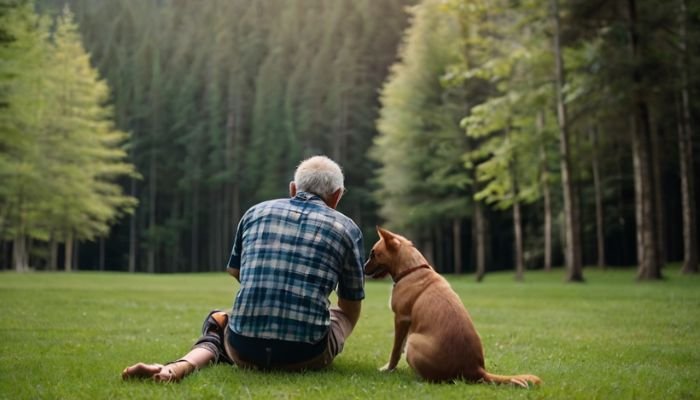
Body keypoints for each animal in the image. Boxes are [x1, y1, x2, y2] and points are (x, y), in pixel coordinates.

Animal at [366, 227, 540, 386]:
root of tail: (476, 370)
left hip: (414, 340)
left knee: (432, 379)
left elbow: (396, 350)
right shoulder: (405, 323)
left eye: (373, 254)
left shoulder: (401, 319)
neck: (412, 270)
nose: (363, 267)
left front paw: (388, 368)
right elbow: (399, 347)